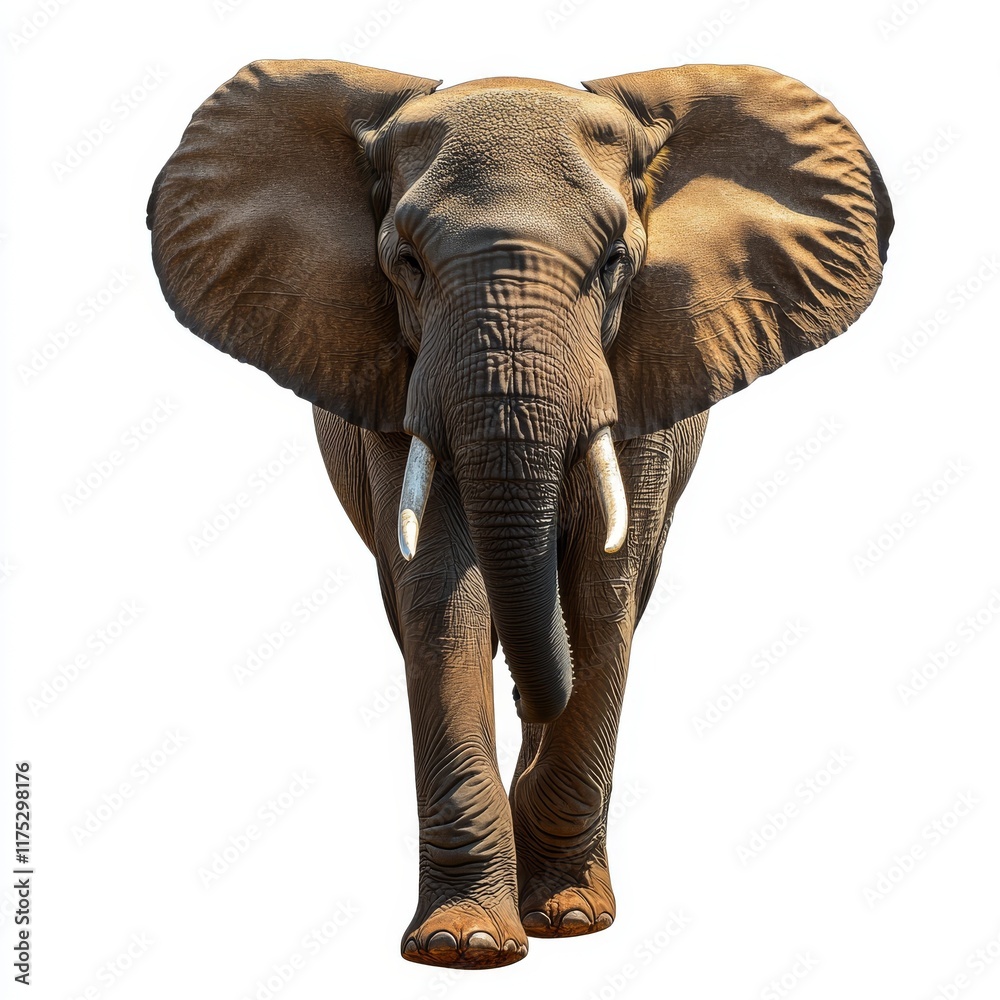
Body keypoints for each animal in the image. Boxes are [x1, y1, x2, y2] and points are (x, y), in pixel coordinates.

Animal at [147, 58, 892, 970]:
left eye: (614, 263)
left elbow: (601, 592)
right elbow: (444, 598)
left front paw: (569, 918)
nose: (524, 765)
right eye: (405, 262)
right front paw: (465, 944)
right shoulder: (396, 380)